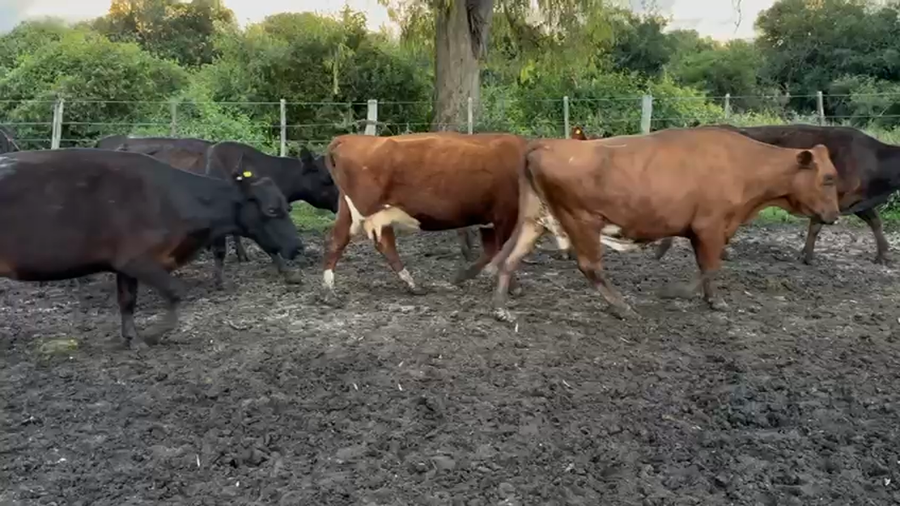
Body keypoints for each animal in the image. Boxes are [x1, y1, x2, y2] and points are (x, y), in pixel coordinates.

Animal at [0, 148, 302, 349]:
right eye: (271, 210)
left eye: (287, 207)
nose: (298, 246)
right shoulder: (137, 260)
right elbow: (176, 292)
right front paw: (153, 334)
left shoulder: (124, 266)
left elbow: (127, 301)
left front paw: (132, 337)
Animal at [320, 132, 534, 304]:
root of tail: (349, 138)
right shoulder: (506, 214)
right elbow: (504, 250)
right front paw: (514, 287)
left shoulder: (487, 219)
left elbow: (491, 250)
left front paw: (461, 276)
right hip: (364, 210)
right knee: (349, 241)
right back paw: (331, 290)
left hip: (359, 211)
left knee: (366, 243)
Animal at [487, 128, 841, 323]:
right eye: (828, 178)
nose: (835, 215)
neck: (743, 165)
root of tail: (545, 144)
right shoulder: (709, 228)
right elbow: (709, 267)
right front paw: (677, 293)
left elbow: (708, 269)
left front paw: (712, 300)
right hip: (582, 220)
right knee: (590, 266)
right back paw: (622, 307)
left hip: (536, 219)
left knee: (510, 258)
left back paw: (501, 307)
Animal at [654, 124, 900, 265]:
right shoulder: (834, 197)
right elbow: (816, 225)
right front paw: (807, 257)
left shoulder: (855, 201)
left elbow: (875, 221)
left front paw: (883, 255)